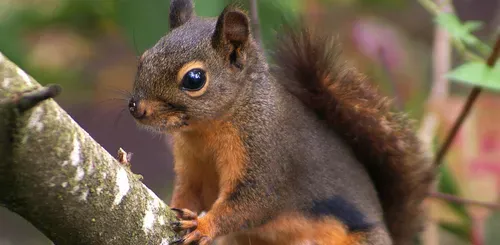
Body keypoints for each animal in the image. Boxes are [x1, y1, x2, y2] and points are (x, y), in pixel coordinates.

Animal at [129, 0, 438, 244]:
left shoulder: (268, 158)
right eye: (143, 59)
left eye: (194, 79)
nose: (135, 108)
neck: (207, 129)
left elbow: (251, 204)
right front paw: (177, 209)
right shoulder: (193, 166)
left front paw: (203, 225)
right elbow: (190, 194)